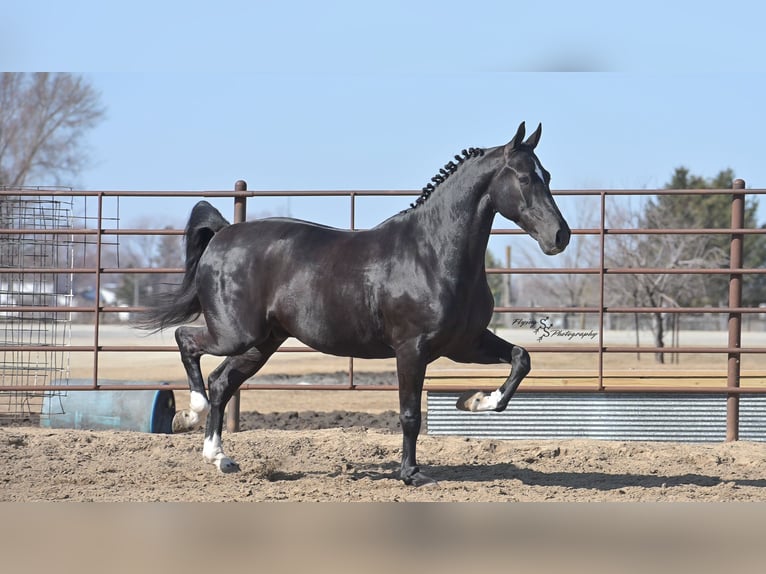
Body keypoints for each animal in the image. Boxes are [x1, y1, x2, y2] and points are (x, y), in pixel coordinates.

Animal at [138, 121, 570, 486]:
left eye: (547, 175)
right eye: (525, 177)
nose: (560, 236)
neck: (431, 253)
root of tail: (224, 233)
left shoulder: (464, 344)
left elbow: (521, 359)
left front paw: (475, 401)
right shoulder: (412, 349)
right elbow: (410, 414)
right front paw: (412, 474)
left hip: (261, 342)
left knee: (221, 382)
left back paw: (220, 457)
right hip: (235, 333)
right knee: (187, 342)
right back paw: (190, 414)